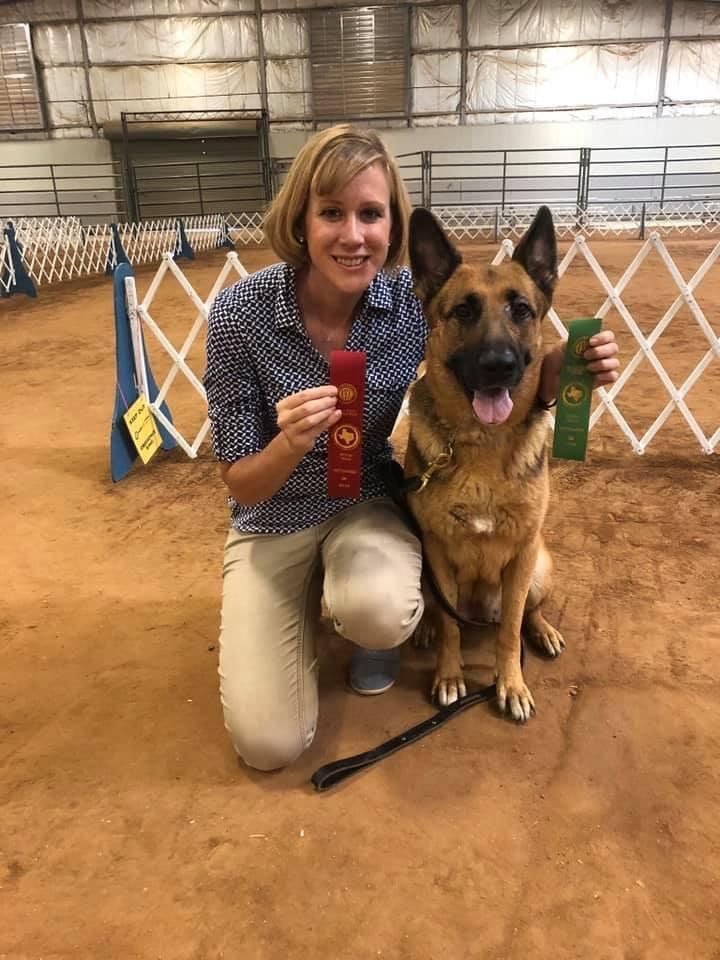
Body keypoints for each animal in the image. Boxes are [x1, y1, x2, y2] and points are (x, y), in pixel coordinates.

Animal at [405, 205, 565, 722]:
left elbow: (510, 630)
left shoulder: (521, 557)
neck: (483, 445)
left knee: (527, 613)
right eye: (464, 310)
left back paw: (543, 630)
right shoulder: (436, 553)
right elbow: (452, 628)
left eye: (521, 310)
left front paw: (510, 684)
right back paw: (427, 629)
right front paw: (450, 676)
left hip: (539, 567)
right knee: (441, 614)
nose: (499, 365)